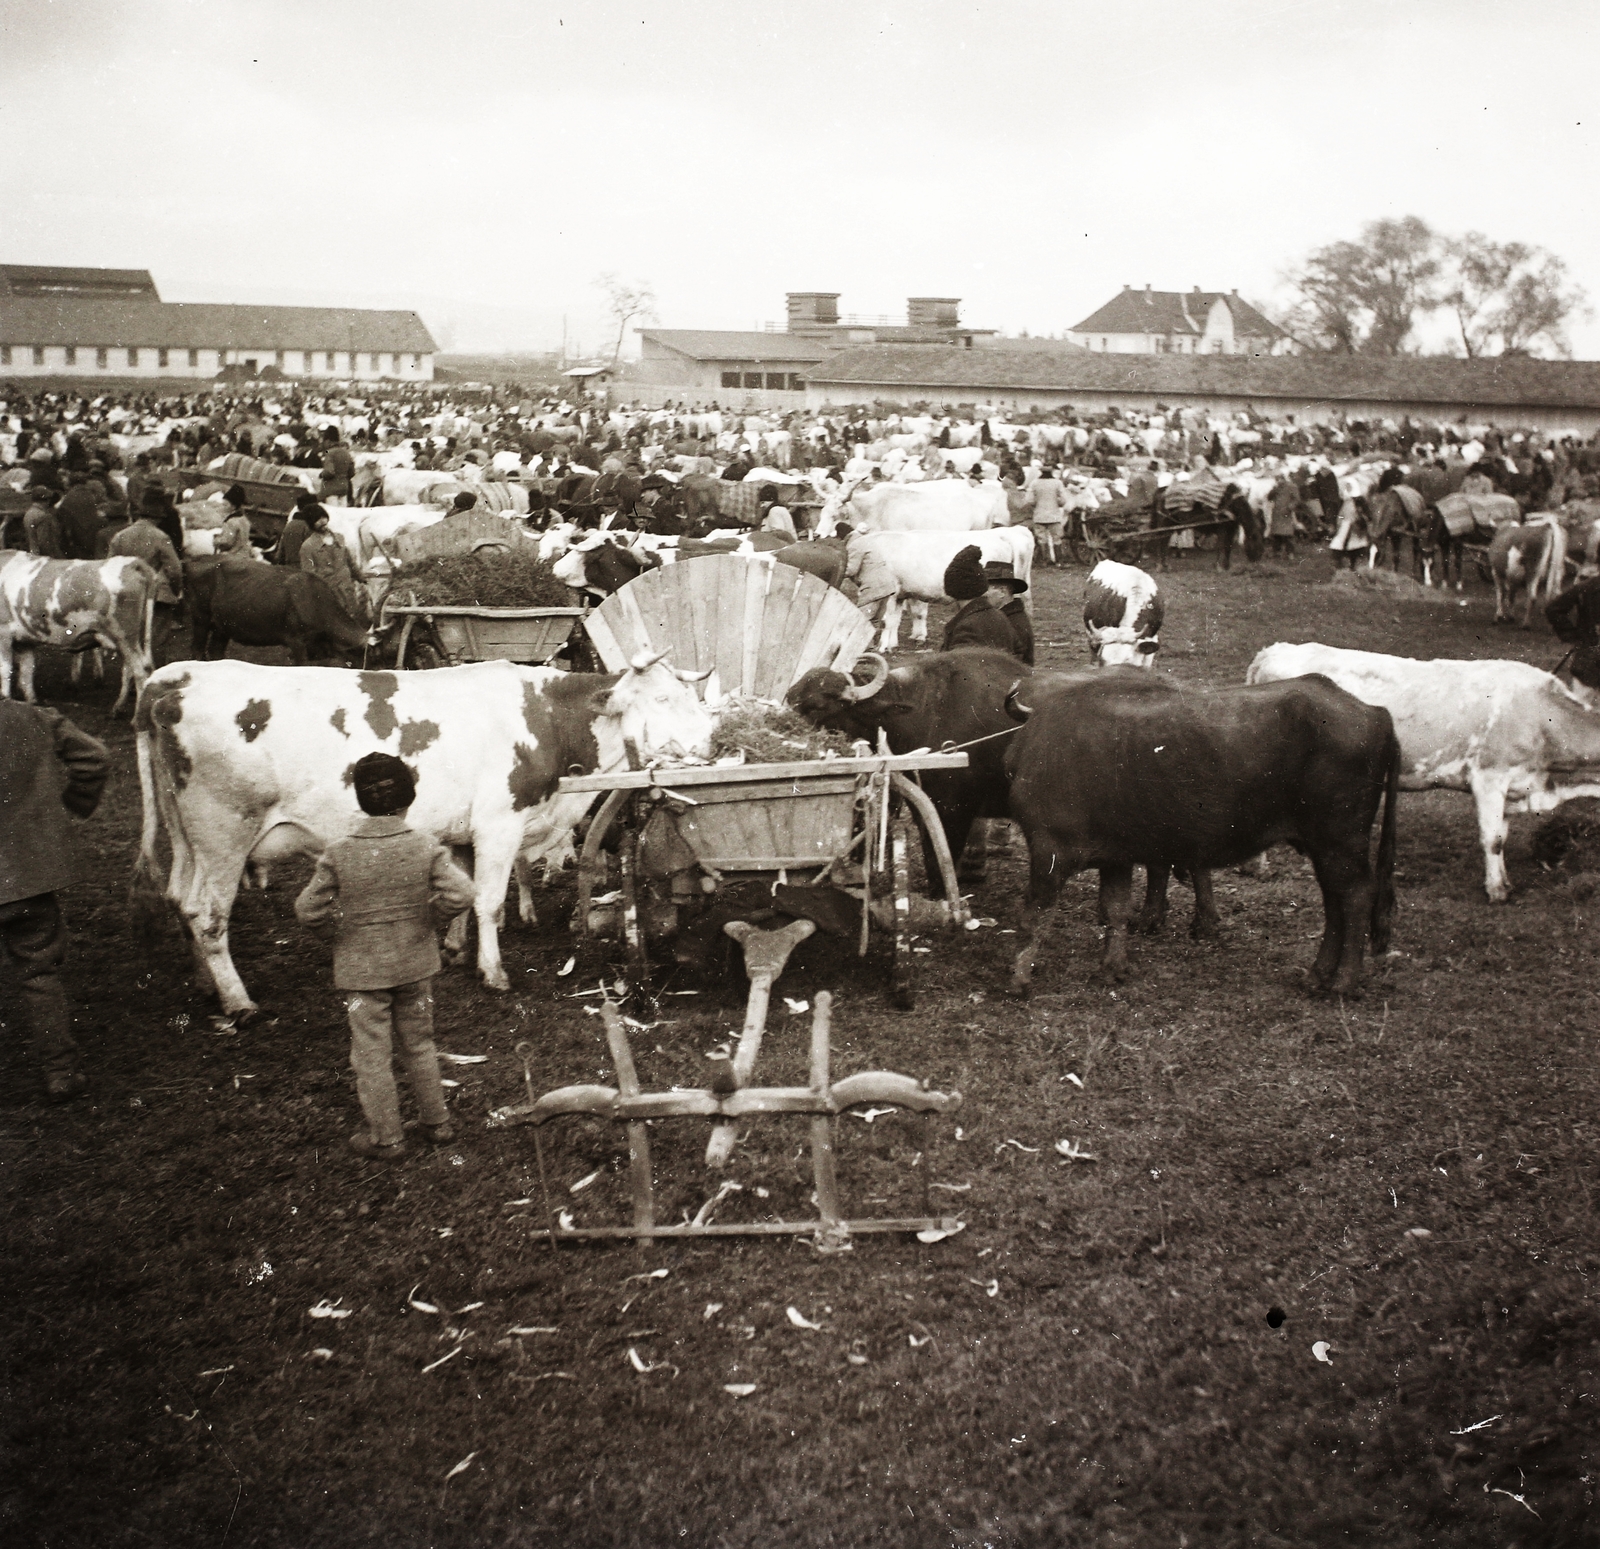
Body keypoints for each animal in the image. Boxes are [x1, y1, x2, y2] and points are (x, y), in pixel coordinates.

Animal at [0, 550, 157, 713]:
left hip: (124, 636)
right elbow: (27, 673)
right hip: (133, 638)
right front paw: (32, 705)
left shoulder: (4, 631)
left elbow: (5, 670)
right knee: (132, 670)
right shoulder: (25, 641)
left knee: (140, 673)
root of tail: (134, 562)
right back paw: (117, 709)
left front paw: (5, 700)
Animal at [132, 649, 713, 1017]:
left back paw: (207, 986)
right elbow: (488, 902)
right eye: (662, 701)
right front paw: (492, 972)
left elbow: (462, 891)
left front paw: (454, 950)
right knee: (208, 916)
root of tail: (177, 679)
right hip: (223, 834)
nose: (711, 738)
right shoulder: (499, 823)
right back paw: (238, 1001)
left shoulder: (462, 830)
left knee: (180, 900)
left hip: (188, 840)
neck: (545, 721)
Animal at [1248, 640, 1600, 908]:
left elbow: (1502, 834)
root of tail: (1276, 649)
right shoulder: (1488, 776)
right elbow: (1493, 840)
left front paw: (1504, 883)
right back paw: (1259, 867)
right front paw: (1497, 892)